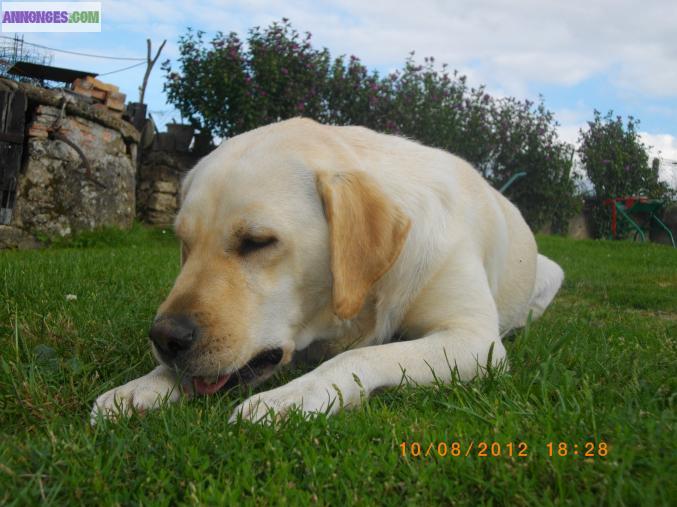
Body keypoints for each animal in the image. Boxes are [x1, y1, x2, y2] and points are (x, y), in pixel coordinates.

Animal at [91, 117, 564, 422]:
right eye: (184, 244)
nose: (165, 338)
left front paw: (290, 398)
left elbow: (360, 355)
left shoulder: (474, 340)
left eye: (257, 241)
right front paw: (142, 386)